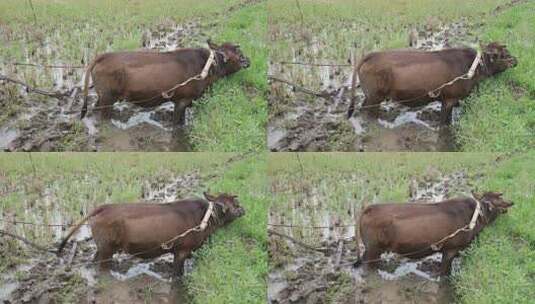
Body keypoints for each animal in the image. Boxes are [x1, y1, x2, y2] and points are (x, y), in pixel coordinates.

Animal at [57, 192, 246, 276]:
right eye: (235, 204)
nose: (243, 209)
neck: (205, 218)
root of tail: (103, 207)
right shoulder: (181, 251)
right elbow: (177, 275)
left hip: (102, 248)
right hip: (107, 250)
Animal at [80, 40, 251, 124]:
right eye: (238, 53)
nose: (248, 60)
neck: (207, 67)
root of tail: (103, 56)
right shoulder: (182, 101)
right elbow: (177, 125)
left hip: (103, 97)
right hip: (107, 98)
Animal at [348, 42, 520, 124]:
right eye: (501, 54)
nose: (516, 60)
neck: (472, 67)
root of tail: (371, 55)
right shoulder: (449, 100)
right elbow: (444, 124)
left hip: (370, 96)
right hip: (375, 97)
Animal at [356, 192, 516, 276]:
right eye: (499, 200)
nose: (511, 202)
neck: (475, 218)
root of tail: (367, 209)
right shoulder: (451, 249)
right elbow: (444, 273)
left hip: (372, 250)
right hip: (373, 249)